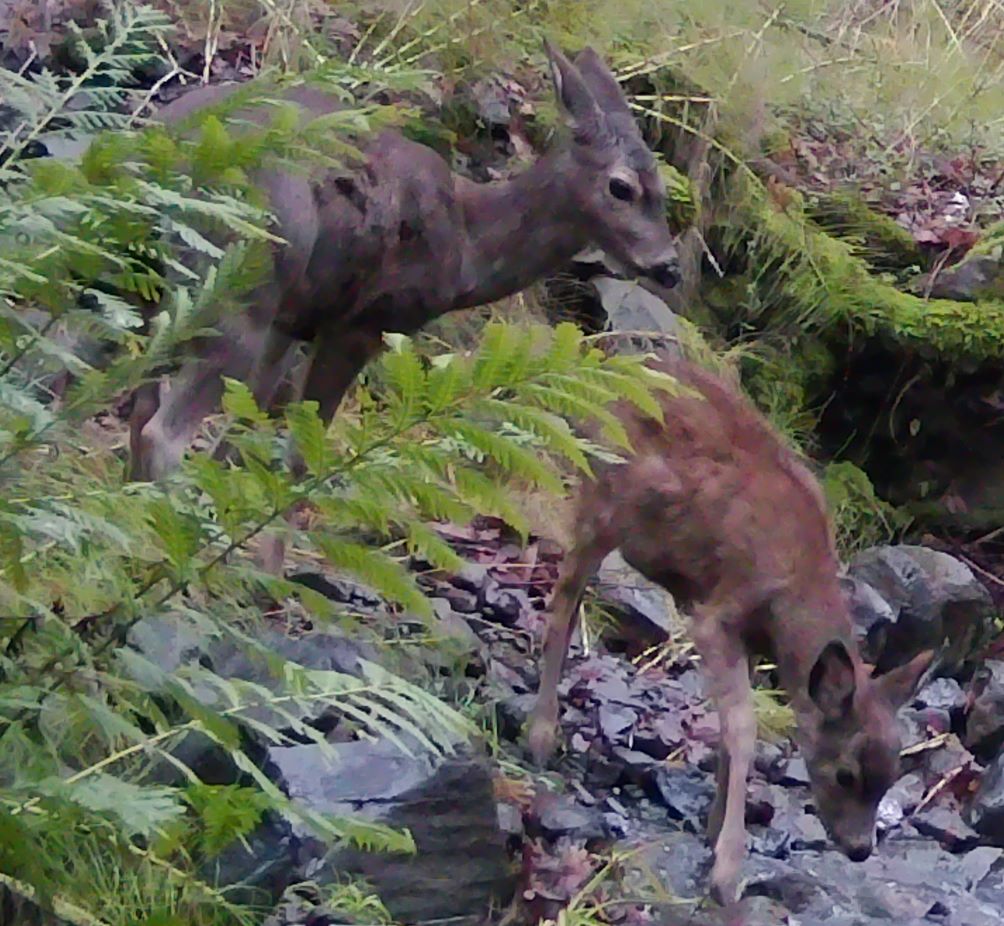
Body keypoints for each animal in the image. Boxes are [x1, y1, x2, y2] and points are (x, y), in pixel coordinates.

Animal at [127, 41, 681, 530]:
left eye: (663, 190)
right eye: (622, 187)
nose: (669, 267)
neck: (468, 247)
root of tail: (174, 147)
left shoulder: (294, 321)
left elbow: (243, 439)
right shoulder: (366, 322)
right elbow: (299, 459)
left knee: (130, 398)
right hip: (242, 289)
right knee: (161, 433)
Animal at [526, 353, 934, 908]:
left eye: (892, 777)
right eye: (845, 774)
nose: (859, 850)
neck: (791, 591)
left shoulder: (746, 638)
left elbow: (727, 725)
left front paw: (713, 826)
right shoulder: (718, 615)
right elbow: (743, 727)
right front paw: (727, 870)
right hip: (600, 493)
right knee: (565, 600)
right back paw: (540, 733)